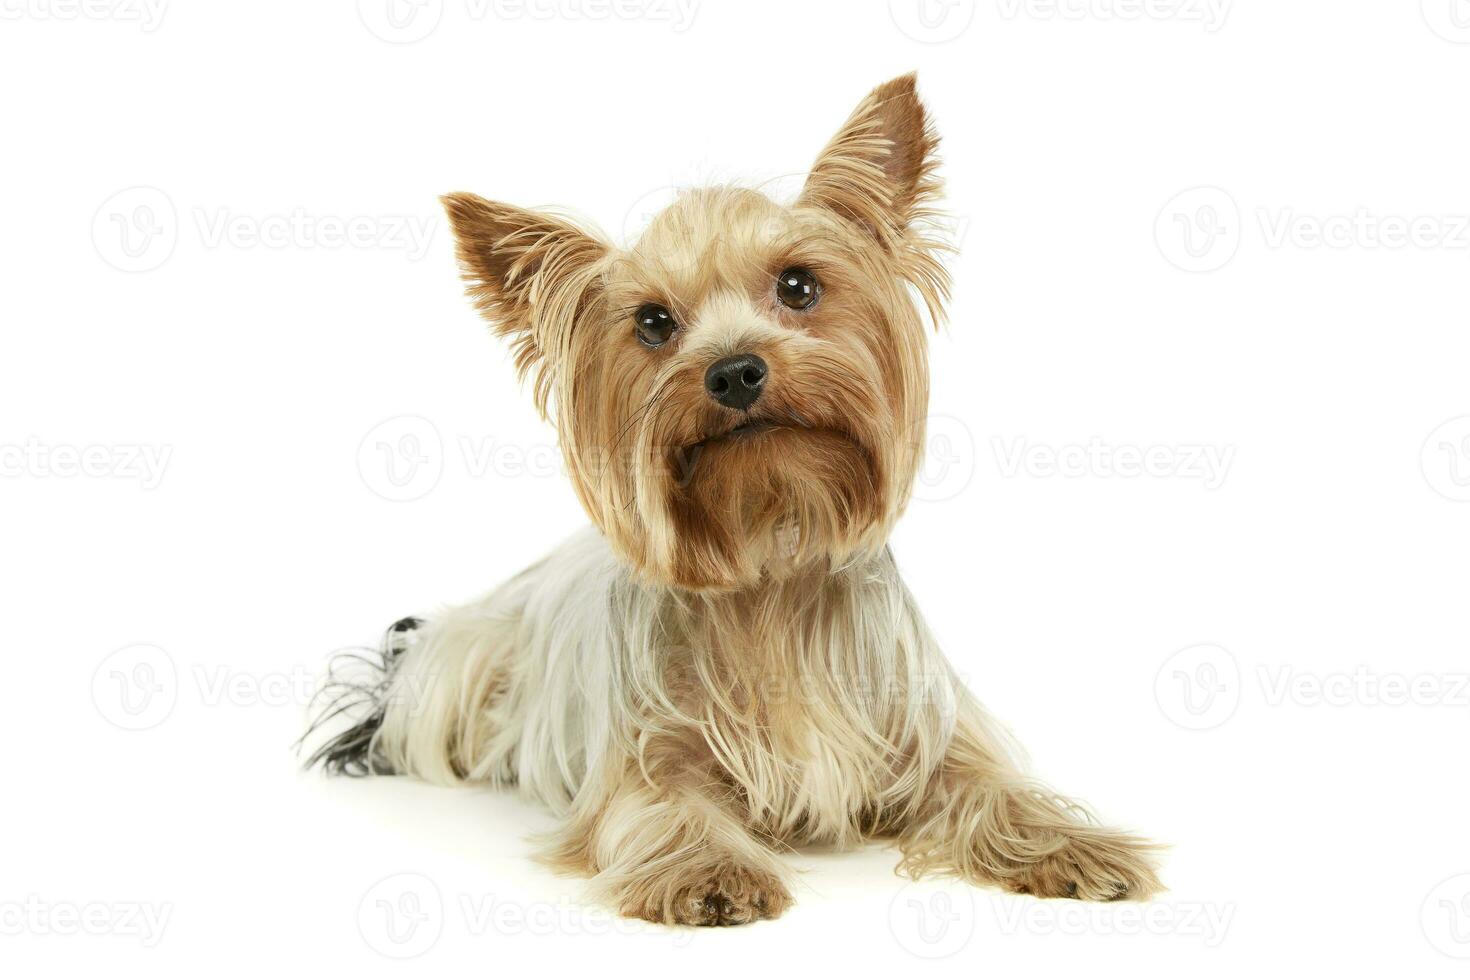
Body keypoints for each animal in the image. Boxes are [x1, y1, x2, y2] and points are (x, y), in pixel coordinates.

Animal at [307, 72, 1158, 922]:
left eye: (799, 285)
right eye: (653, 323)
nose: (735, 371)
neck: (770, 548)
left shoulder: (925, 730)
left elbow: (995, 787)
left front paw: (1072, 846)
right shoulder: (646, 756)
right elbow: (664, 807)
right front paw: (708, 871)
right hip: (458, 667)